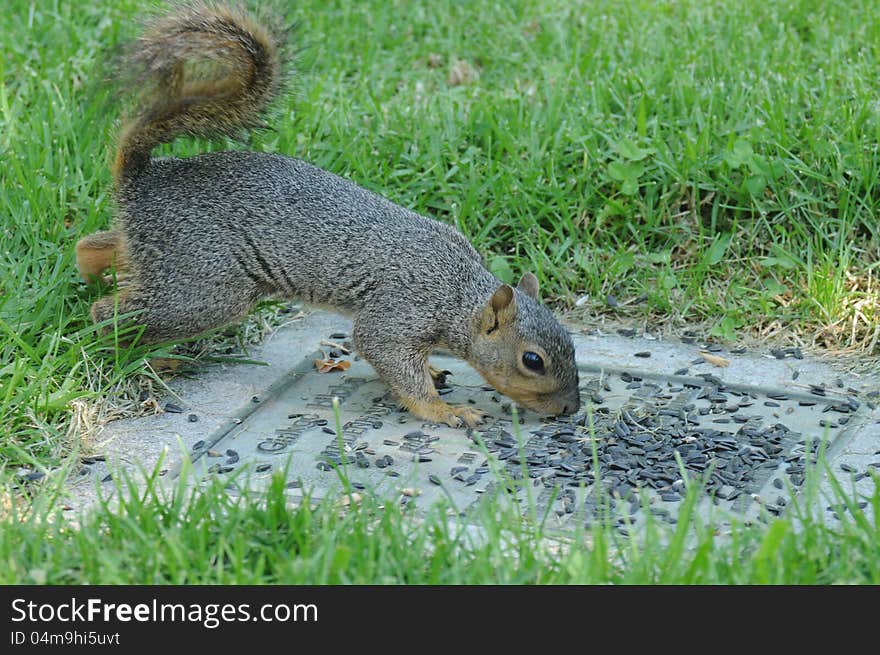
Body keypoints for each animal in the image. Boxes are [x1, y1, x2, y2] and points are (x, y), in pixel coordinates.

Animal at [77, 0, 584, 428]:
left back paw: (90, 272)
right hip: (204, 285)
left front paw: (436, 373)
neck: (458, 291)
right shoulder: (400, 312)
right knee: (111, 313)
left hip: (161, 256)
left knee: (99, 246)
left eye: (571, 343)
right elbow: (385, 355)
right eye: (532, 360)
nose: (570, 409)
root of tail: (144, 180)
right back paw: (138, 353)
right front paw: (446, 411)